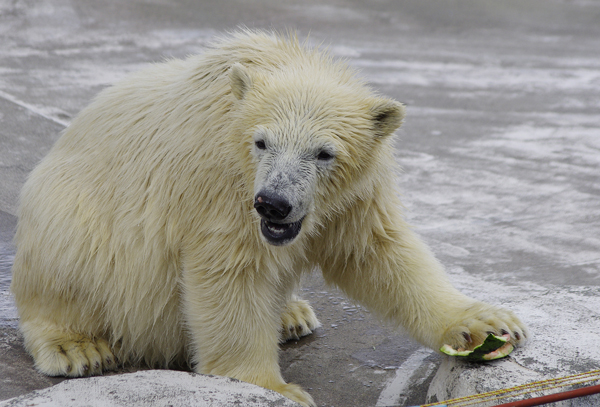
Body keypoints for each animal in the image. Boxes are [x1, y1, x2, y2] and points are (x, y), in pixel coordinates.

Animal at [9, 30, 524, 406]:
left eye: (324, 153)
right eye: (262, 142)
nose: (274, 203)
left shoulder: (351, 197)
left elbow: (377, 253)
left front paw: (485, 324)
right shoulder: (222, 185)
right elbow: (230, 273)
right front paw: (276, 388)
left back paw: (292, 315)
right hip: (72, 214)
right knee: (70, 260)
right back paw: (78, 346)